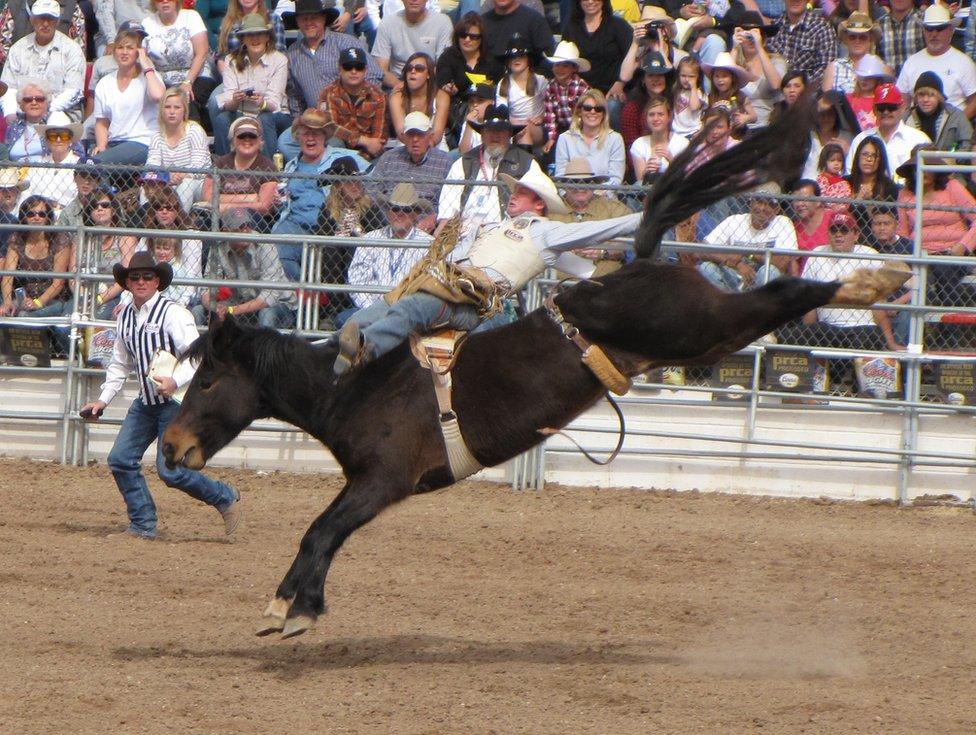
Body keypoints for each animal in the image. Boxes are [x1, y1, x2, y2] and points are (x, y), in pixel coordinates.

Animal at [158, 103, 908, 640]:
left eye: (206, 381)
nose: (170, 446)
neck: (351, 384)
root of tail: (638, 267)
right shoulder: (367, 483)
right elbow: (322, 531)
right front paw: (292, 604)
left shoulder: (384, 480)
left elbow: (321, 529)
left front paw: (292, 608)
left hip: (701, 326)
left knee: (785, 294)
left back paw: (874, 279)